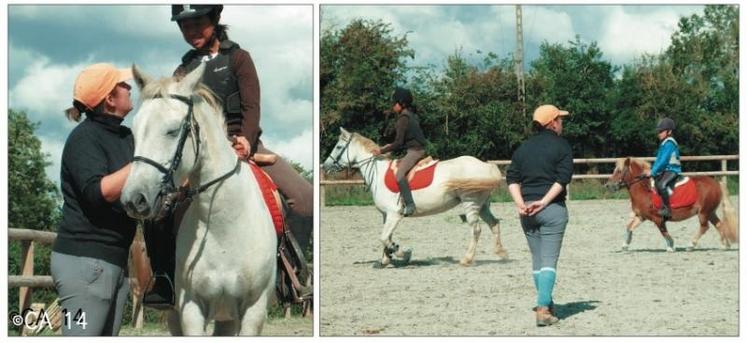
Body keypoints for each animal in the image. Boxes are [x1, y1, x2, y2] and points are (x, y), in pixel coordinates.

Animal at [122, 63, 278, 336]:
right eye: (135, 131)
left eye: (173, 130)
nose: (134, 199)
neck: (224, 225)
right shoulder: (191, 308)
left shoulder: (254, 310)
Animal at [322, 127, 508, 268]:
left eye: (338, 147)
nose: (325, 166)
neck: (378, 173)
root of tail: (486, 166)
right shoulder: (386, 215)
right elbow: (386, 237)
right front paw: (384, 260)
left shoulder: (394, 214)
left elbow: (384, 238)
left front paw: (402, 253)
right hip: (482, 205)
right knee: (494, 224)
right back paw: (502, 253)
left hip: (471, 203)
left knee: (476, 230)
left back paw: (467, 259)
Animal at [604, 159, 740, 253]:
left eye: (619, 171)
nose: (608, 186)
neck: (644, 190)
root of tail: (716, 183)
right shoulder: (641, 216)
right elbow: (629, 227)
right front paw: (625, 245)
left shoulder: (657, 219)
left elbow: (663, 232)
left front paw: (671, 246)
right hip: (710, 212)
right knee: (719, 225)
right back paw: (725, 245)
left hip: (703, 212)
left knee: (704, 227)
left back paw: (691, 245)